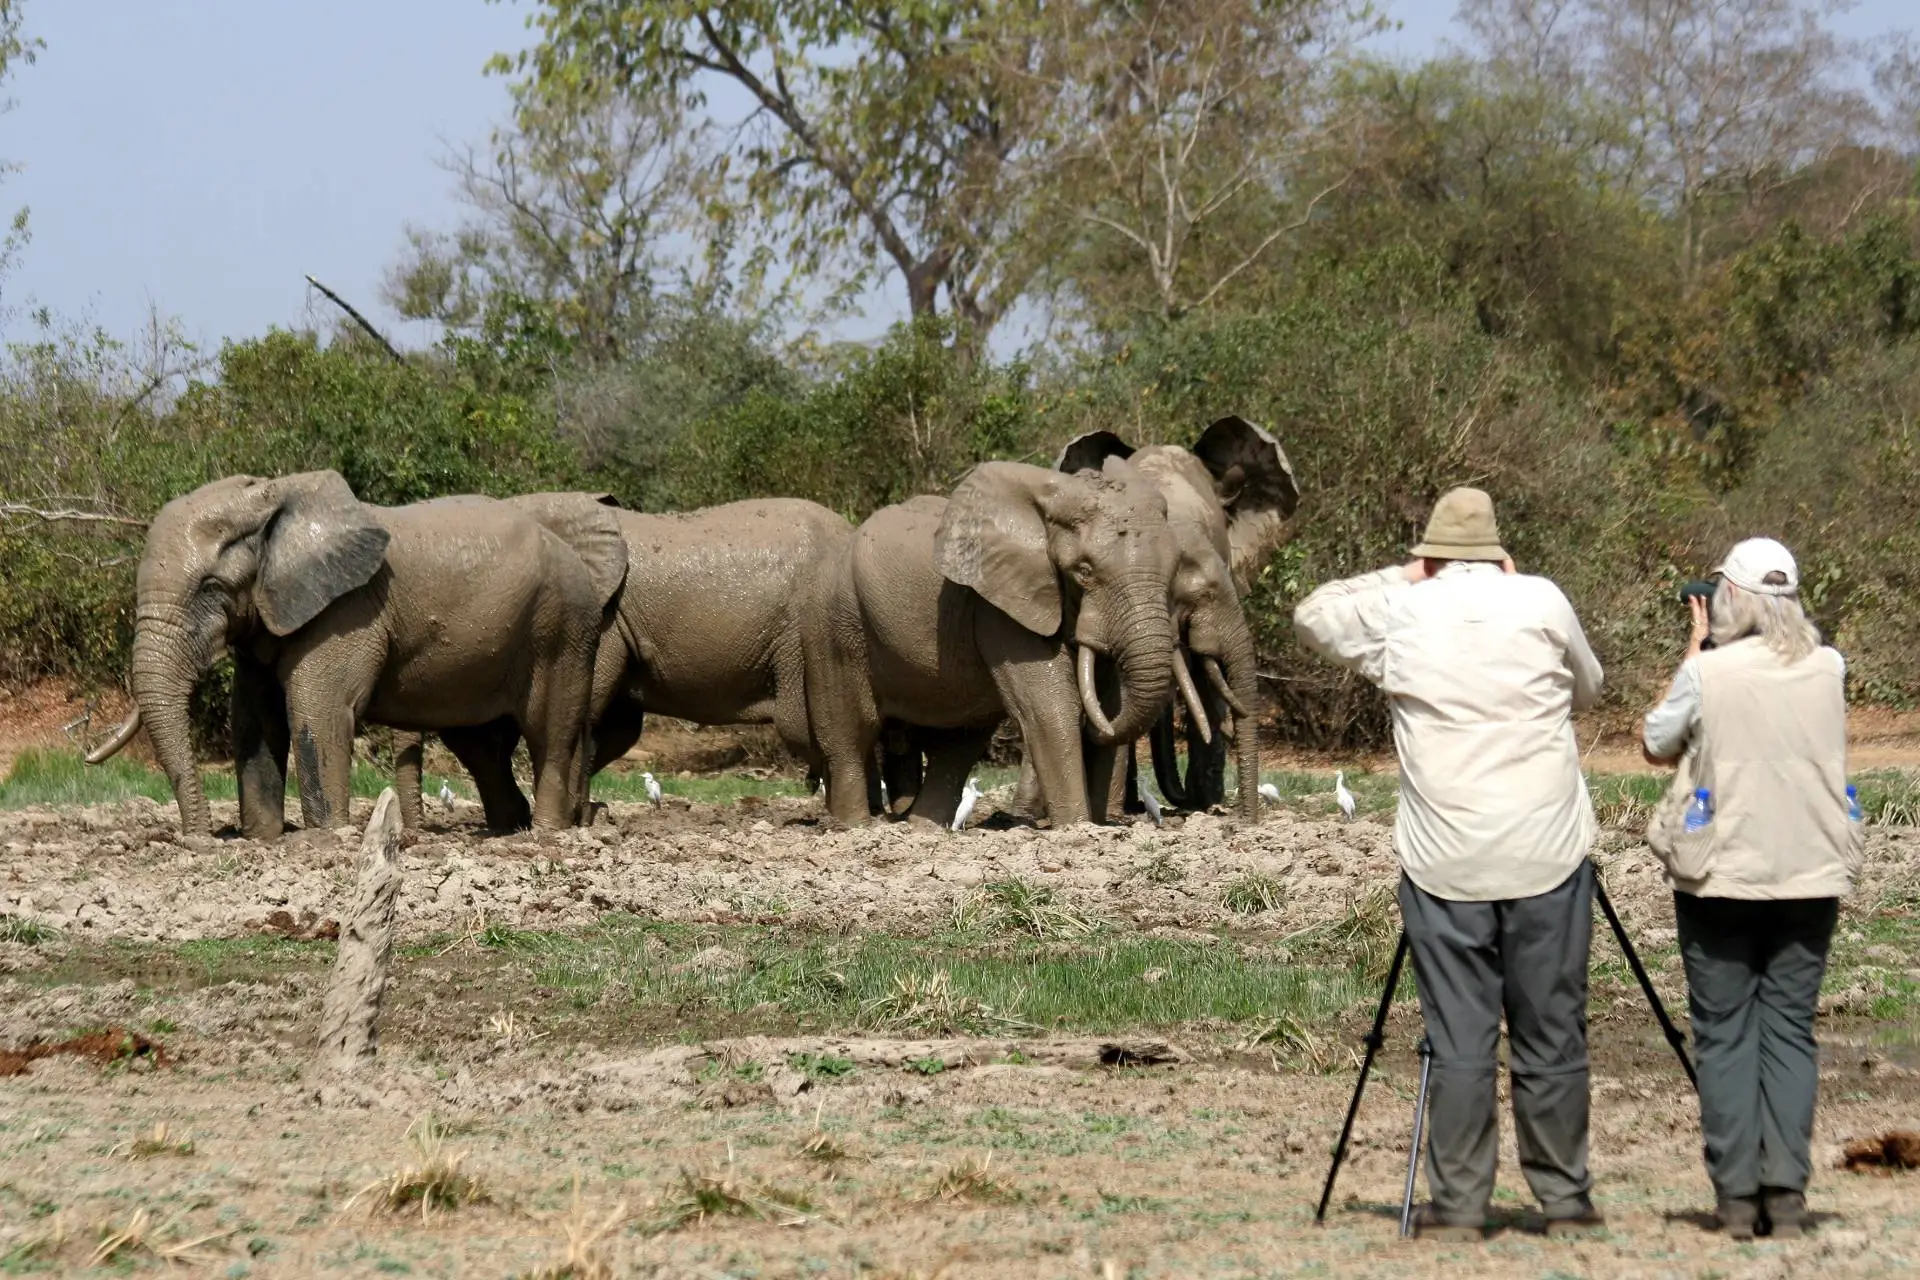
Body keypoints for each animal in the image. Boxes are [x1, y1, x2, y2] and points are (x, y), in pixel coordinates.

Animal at [84, 472, 625, 839]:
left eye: (210, 588)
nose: (198, 841)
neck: (274, 496)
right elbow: (255, 720)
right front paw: (264, 838)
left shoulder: (346, 611)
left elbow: (316, 711)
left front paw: (326, 838)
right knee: (484, 746)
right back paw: (510, 830)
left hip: (563, 628)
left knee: (550, 731)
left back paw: (547, 834)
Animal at [390, 497, 856, 826]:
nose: (415, 834)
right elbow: (610, 728)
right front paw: (576, 815)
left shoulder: (602, 619)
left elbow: (588, 712)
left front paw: (577, 819)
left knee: (801, 724)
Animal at [803, 456, 1182, 827]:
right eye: (1084, 571)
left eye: (1175, 568)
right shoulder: (998, 607)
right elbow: (1050, 708)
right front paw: (1077, 828)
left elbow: (1109, 699)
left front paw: (1103, 828)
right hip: (837, 623)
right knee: (852, 733)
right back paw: (856, 827)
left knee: (960, 742)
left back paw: (923, 829)